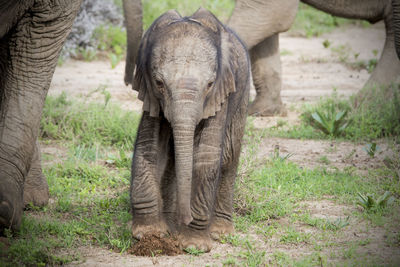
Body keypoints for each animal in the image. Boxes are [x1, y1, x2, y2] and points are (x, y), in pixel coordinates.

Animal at [130, 7, 248, 251]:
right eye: (159, 83)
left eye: (210, 85)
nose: (185, 219)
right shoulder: (150, 95)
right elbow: (148, 147)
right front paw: (149, 234)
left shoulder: (220, 95)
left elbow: (206, 156)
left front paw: (194, 245)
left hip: (242, 97)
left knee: (229, 156)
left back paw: (220, 233)